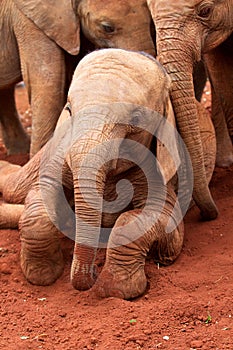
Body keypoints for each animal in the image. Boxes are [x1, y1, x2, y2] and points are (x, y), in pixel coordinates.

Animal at [0, 48, 216, 300]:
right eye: (69, 110)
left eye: (135, 120)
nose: (94, 269)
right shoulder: (62, 147)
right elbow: (41, 196)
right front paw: (42, 274)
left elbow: (156, 219)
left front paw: (115, 288)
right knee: (15, 188)